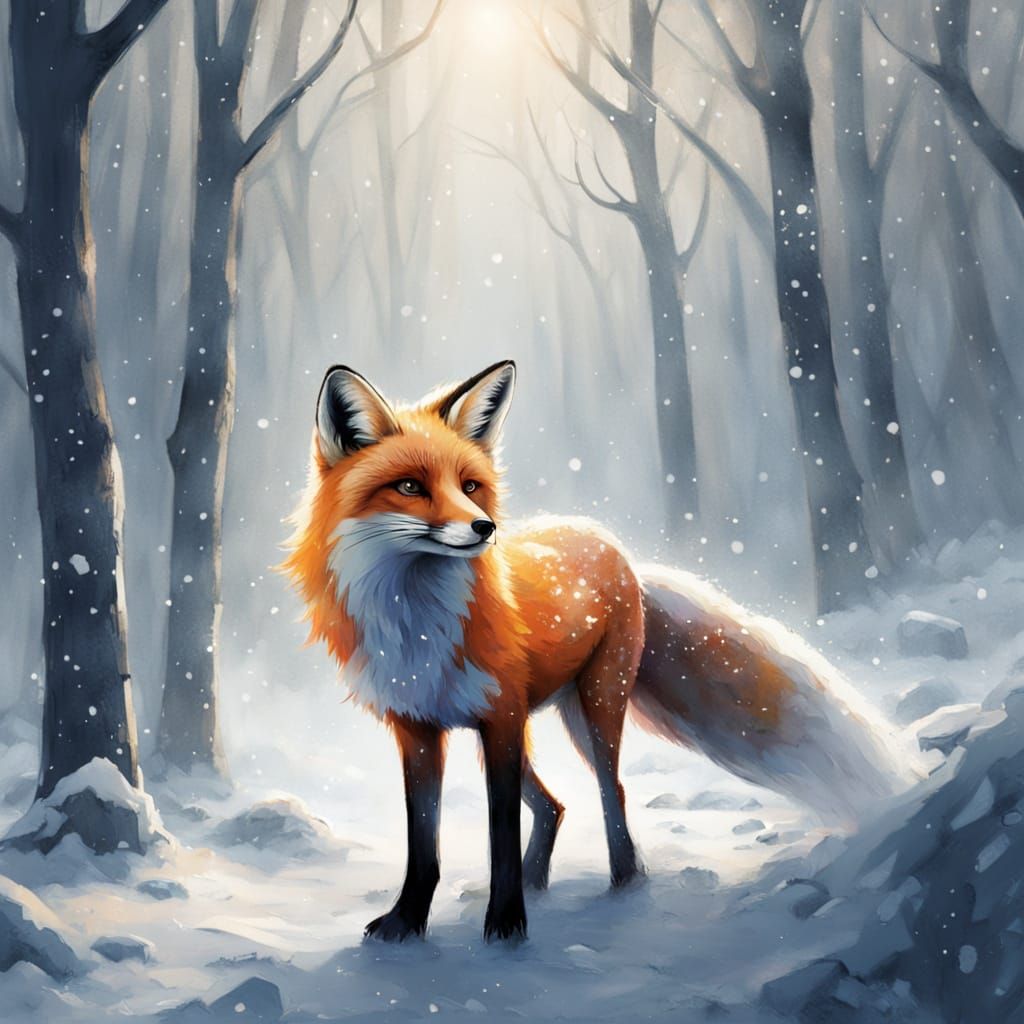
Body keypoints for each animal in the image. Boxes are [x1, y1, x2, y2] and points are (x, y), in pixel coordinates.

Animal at [283, 360, 909, 942]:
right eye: (410, 487)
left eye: (471, 486)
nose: (484, 528)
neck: (416, 623)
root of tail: (616, 548)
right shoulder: (418, 728)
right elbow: (423, 842)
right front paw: (407, 923)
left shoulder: (502, 718)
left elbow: (500, 835)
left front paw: (506, 927)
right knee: (555, 805)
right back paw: (542, 882)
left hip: (592, 710)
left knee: (615, 792)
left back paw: (623, 887)